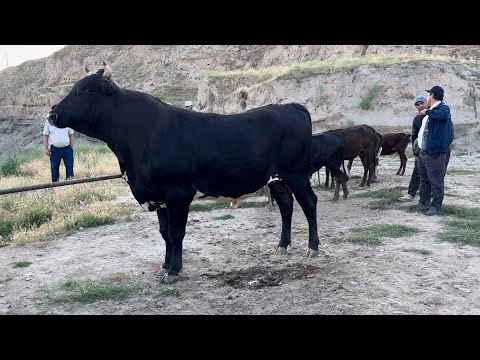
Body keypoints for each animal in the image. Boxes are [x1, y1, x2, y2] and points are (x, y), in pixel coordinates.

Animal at [48, 66, 320, 282]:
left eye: (85, 91)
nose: (52, 114)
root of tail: (290, 106)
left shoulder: (178, 193)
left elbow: (176, 233)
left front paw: (174, 271)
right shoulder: (158, 197)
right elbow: (165, 234)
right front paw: (164, 266)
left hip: (296, 175)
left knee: (309, 203)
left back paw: (313, 248)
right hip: (276, 179)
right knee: (286, 205)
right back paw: (282, 246)